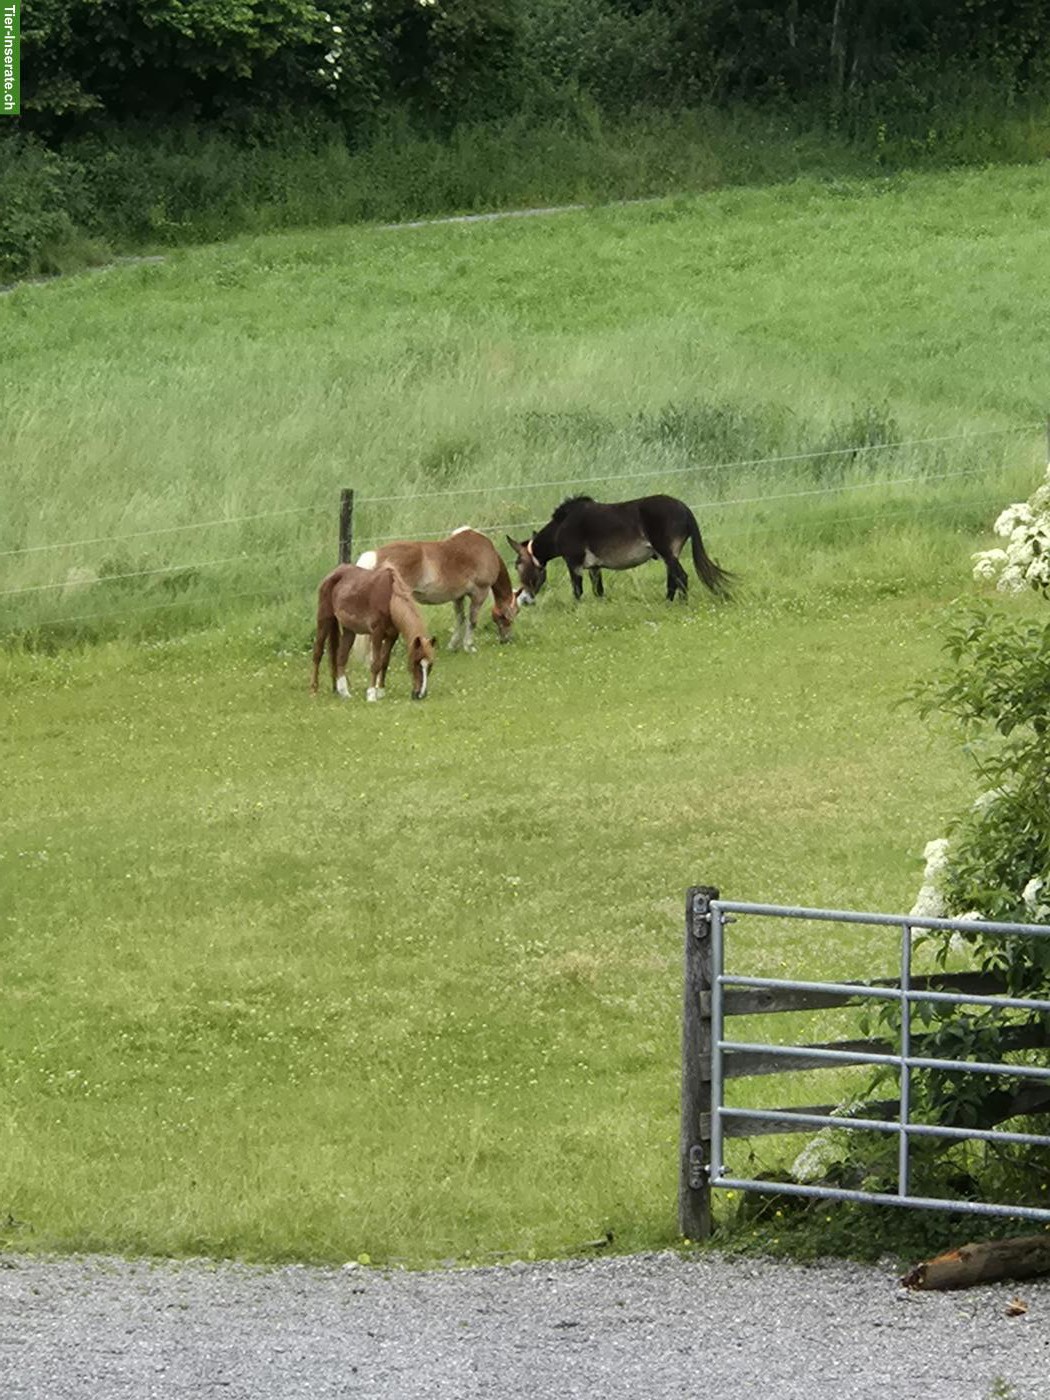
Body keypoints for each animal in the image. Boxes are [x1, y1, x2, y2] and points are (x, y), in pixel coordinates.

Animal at [310, 563, 436, 701]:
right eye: (416, 663)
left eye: (430, 665)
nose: (420, 695)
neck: (390, 599)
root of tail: (333, 573)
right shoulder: (377, 633)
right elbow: (376, 663)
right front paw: (371, 695)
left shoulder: (392, 636)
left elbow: (384, 662)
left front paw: (380, 691)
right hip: (324, 620)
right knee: (318, 653)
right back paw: (314, 689)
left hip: (349, 630)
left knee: (340, 657)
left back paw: (344, 692)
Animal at [356, 527, 518, 652]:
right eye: (509, 617)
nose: (506, 640)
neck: (485, 550)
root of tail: (376, 555)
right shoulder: (479, 593)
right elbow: (472, 621)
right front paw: (469, 646)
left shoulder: (458, 597)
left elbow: (460, 619)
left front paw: (453, 645)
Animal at [508, 494, 733, 604]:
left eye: (518, 566)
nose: (524, 599)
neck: (561, 527)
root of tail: (685, 509)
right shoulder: (594, 567)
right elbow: (598, 590)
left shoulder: (573, 563)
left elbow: (577, 590)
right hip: (669, 555)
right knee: (673, 579)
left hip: (667, 553)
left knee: (681, 577)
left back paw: (679, 604)